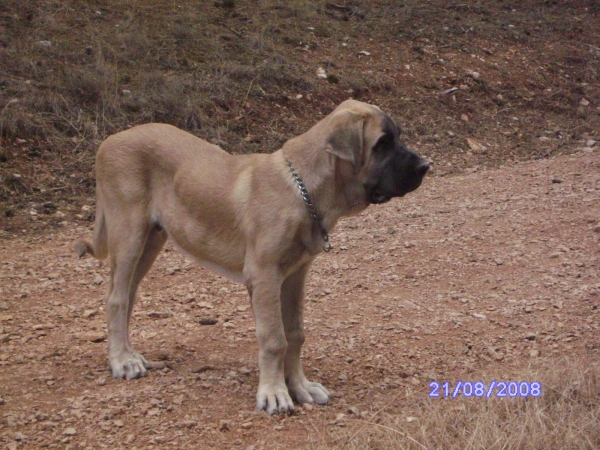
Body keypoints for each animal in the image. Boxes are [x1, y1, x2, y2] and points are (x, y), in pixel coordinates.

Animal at [75, 99, 428, 414]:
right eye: (382, 144)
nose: (426, 166)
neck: (302, 188)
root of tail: (108, 141)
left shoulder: (295, 275)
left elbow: (295, 334)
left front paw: (299, 386)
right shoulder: (265, 276)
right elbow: (274, 339)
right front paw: (274, 393)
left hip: (151, 241)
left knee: (127, 296)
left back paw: (127, 353)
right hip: (129, 234)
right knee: (116, 299)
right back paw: (121, 361)